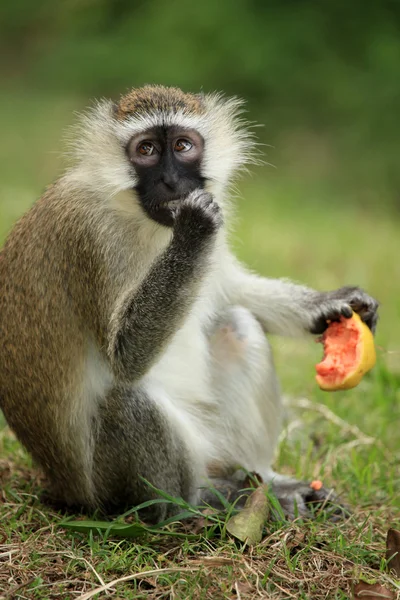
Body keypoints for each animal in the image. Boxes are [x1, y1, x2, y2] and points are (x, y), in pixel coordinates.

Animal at [0, 85, 378, 520]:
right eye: (146, 149)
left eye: (183, 146)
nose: (171, 180)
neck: (140, 218)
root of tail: (66, 489)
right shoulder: (89, 238)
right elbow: (125, 356)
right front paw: (195, 227)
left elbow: (229, 289)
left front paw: (333, 305)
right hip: (109, 486)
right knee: (127, 401)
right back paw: (197, 502)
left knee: (236, 325)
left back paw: (266, 481)